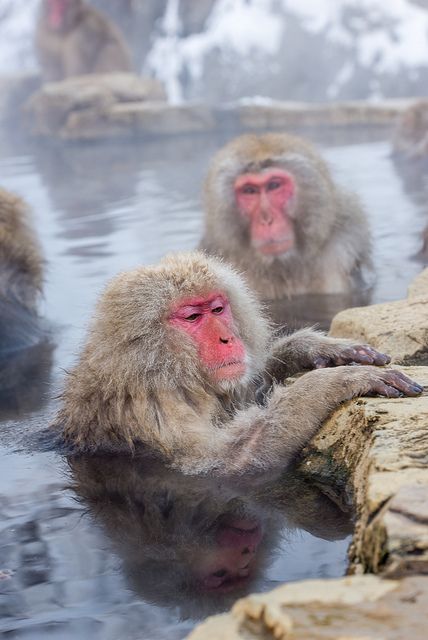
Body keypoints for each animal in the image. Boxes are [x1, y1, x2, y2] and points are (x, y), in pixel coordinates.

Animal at [51, 250, 422, 476]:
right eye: (192, 317)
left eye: (217, 309)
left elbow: (248, 390)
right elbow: (227, 465)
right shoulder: (153, 407)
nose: (227, 339)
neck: (158, 367)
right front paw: (334, 381)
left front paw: (319, 348)